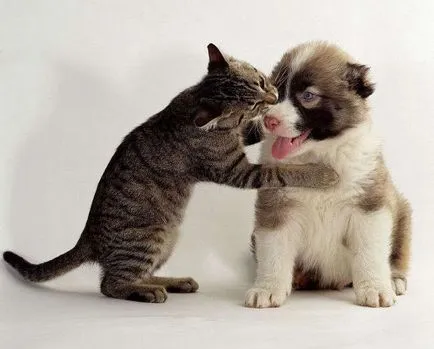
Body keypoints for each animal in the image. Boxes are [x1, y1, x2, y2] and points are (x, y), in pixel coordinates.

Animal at [3, 43, 338, 300]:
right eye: (253, 104)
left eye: (260, 81)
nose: (272, 97)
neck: (194, 101)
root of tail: (88, 237)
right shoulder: (236, 171)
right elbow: (279, 171)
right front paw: (322, 174)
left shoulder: (240, 138)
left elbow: (257, 135)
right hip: (148, 238)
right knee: (111, 284)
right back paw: (150, 292)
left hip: (169, 239)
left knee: (135, 275)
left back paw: (174, 282)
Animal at [246, 41, 412, 308]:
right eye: (276, 92)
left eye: (308, 96)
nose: (269, 120)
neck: (319, 156)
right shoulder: (276, 207)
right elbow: (273, 251)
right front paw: (267, 288)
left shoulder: (370, 205)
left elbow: (370, 251)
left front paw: (375, 287)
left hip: (402, 213)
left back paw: (394, 279)